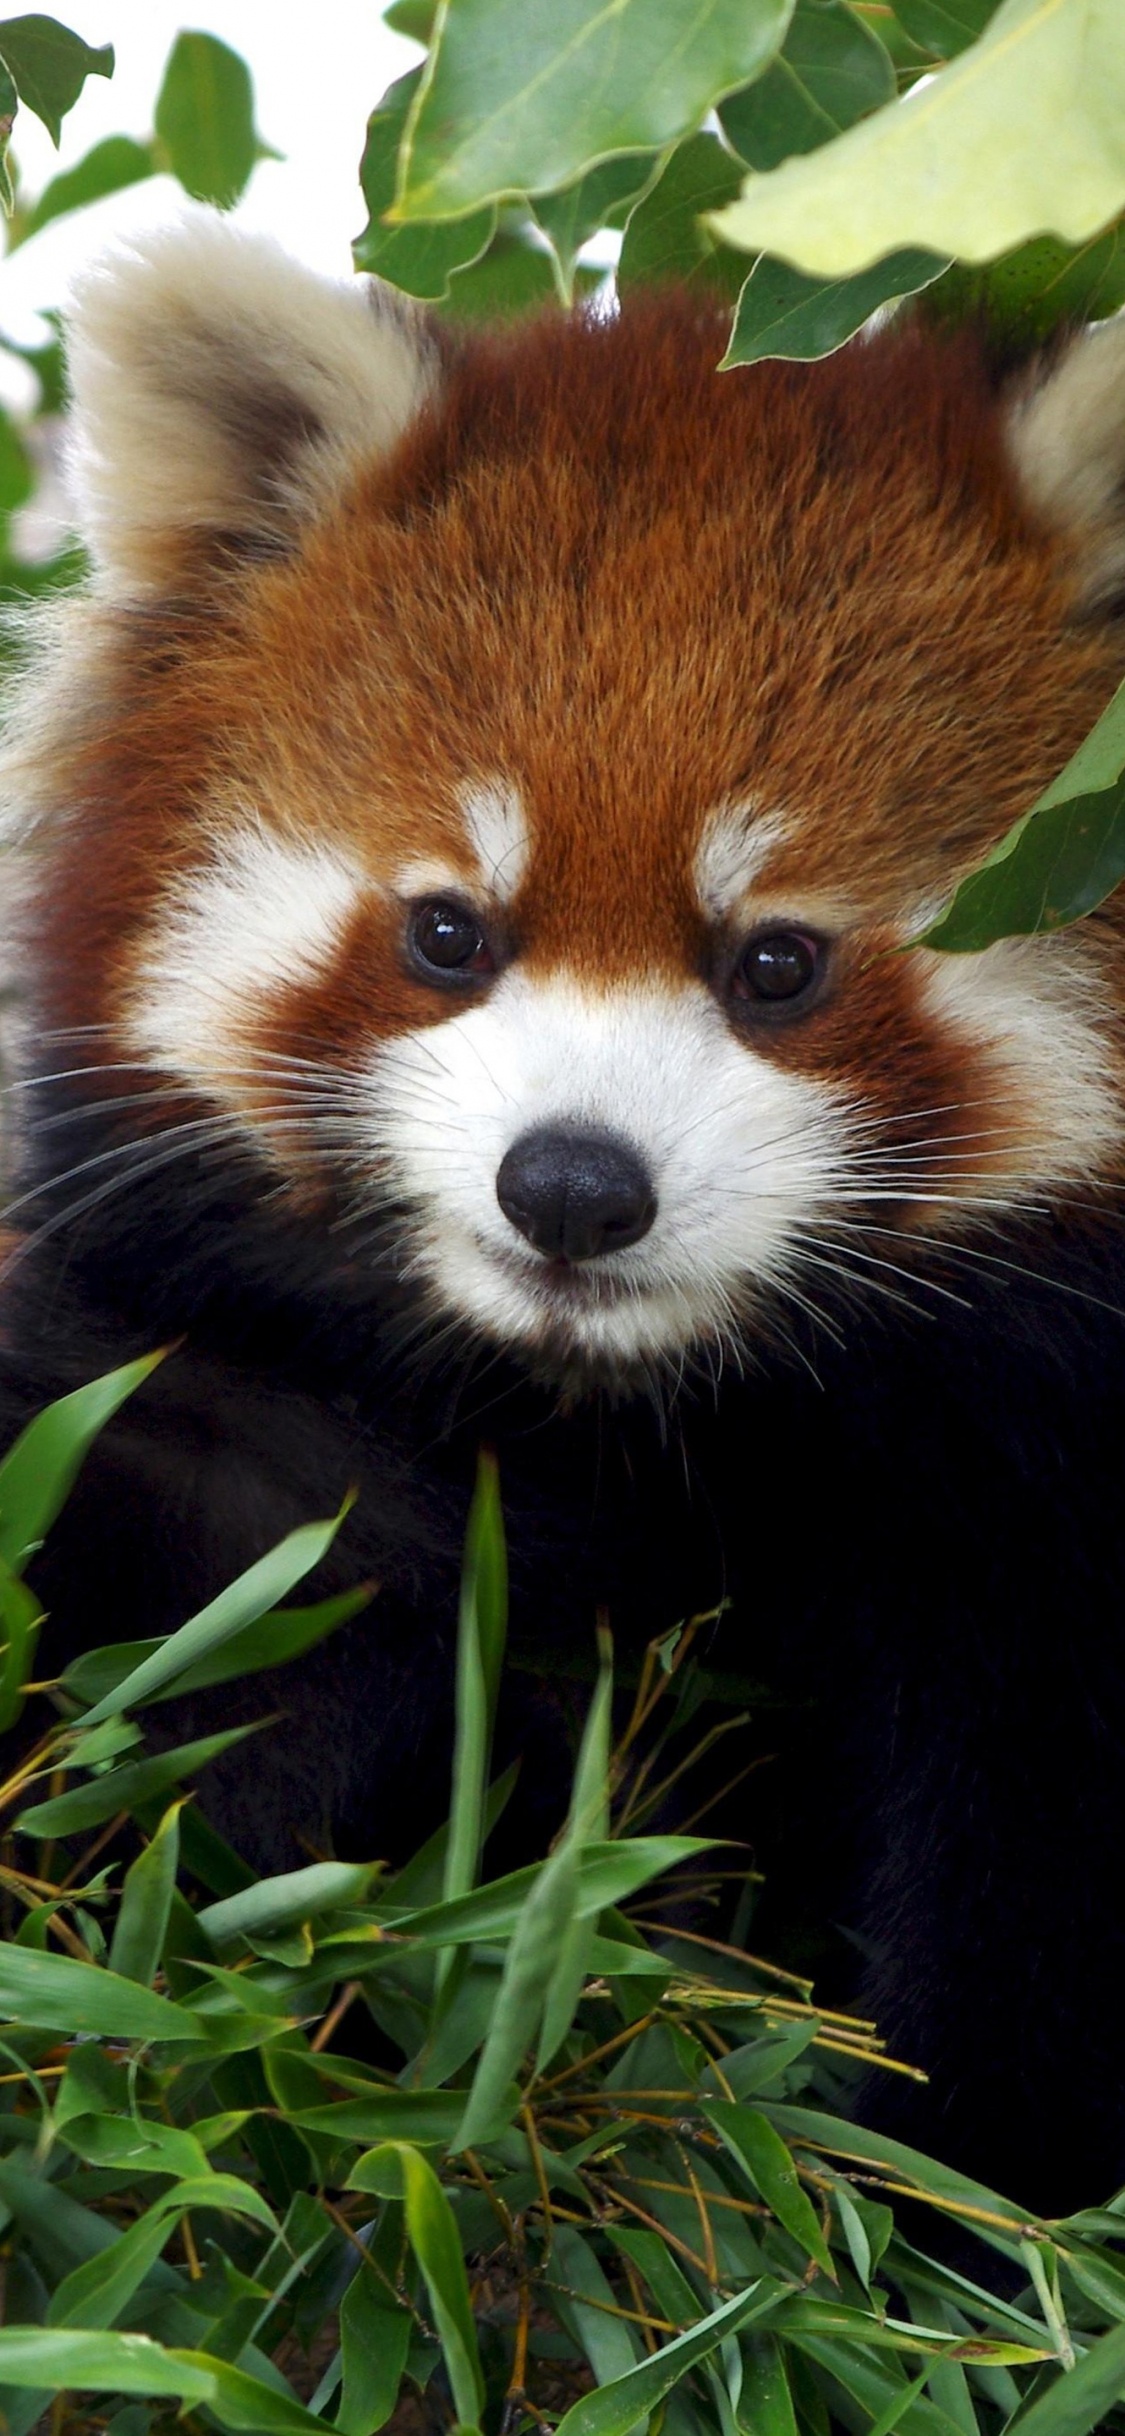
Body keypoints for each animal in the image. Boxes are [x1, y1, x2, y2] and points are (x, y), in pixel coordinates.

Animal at [3, 214, 1125, 2211]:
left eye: (777, 963)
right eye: (451, 929)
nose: (576, 1185)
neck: (612, 1419)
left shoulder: (1032, 1513)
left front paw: (971, 2196)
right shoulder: (193, 1403)